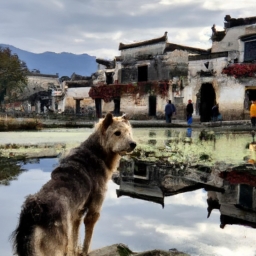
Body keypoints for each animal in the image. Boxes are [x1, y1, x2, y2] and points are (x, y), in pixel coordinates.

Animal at [11, 113, 136, 255]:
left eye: (129, 132)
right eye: (117, 133)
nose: (133, 144)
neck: (96, 152)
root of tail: (34, 211)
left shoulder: (77, 213)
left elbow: (75, 239)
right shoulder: (93, 211)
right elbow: (87, 240)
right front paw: (85, 252)